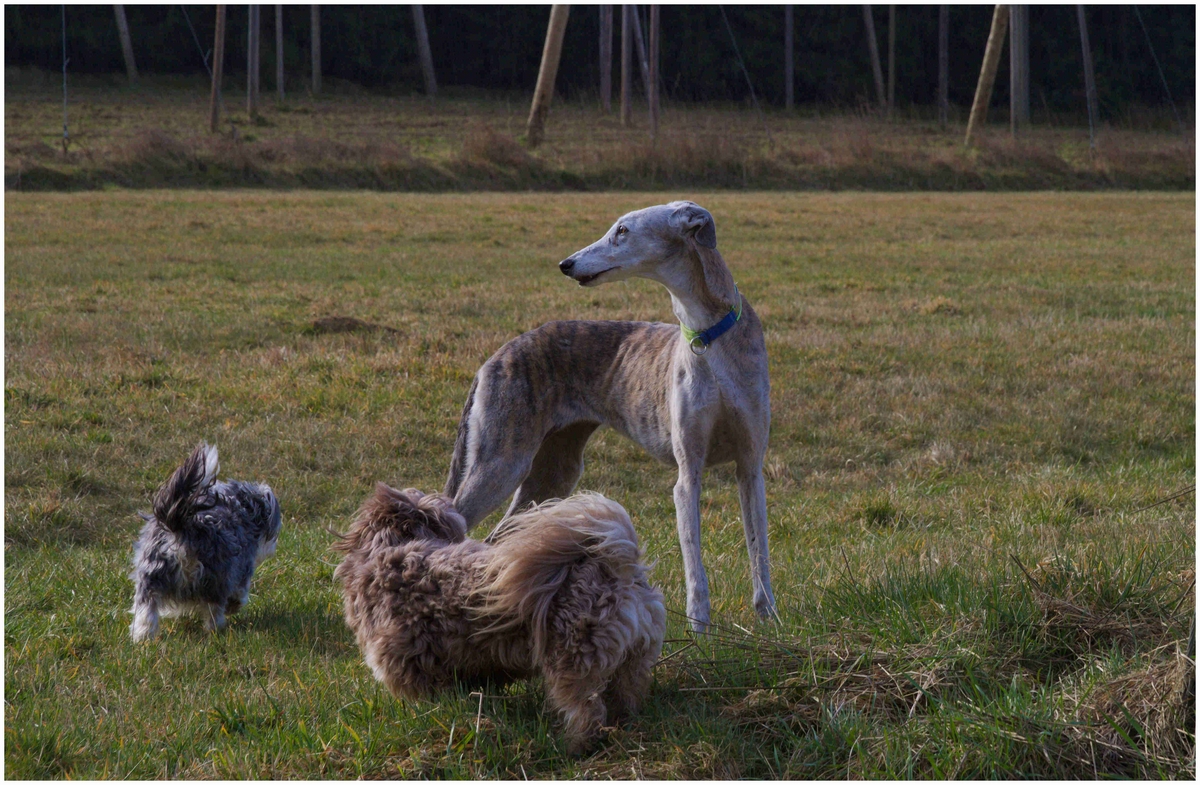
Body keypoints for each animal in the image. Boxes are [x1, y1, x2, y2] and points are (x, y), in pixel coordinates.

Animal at [129, 446, 280, 643]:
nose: (275, 543)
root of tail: (184, 529)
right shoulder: (242, 570)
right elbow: (239, 594)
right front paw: (234, 606)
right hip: (217, 579)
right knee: (214, 610)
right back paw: (216, 630)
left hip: (151, 575)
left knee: (146, 610)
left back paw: (143, 638)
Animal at [336, 484, 667, 758]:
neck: (391, 547)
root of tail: (615, 565)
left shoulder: (405, 659)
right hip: (633, 659)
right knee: (626, 693)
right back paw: (623, 723)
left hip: (572, 658)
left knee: (586, 709)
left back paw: (573, 745)